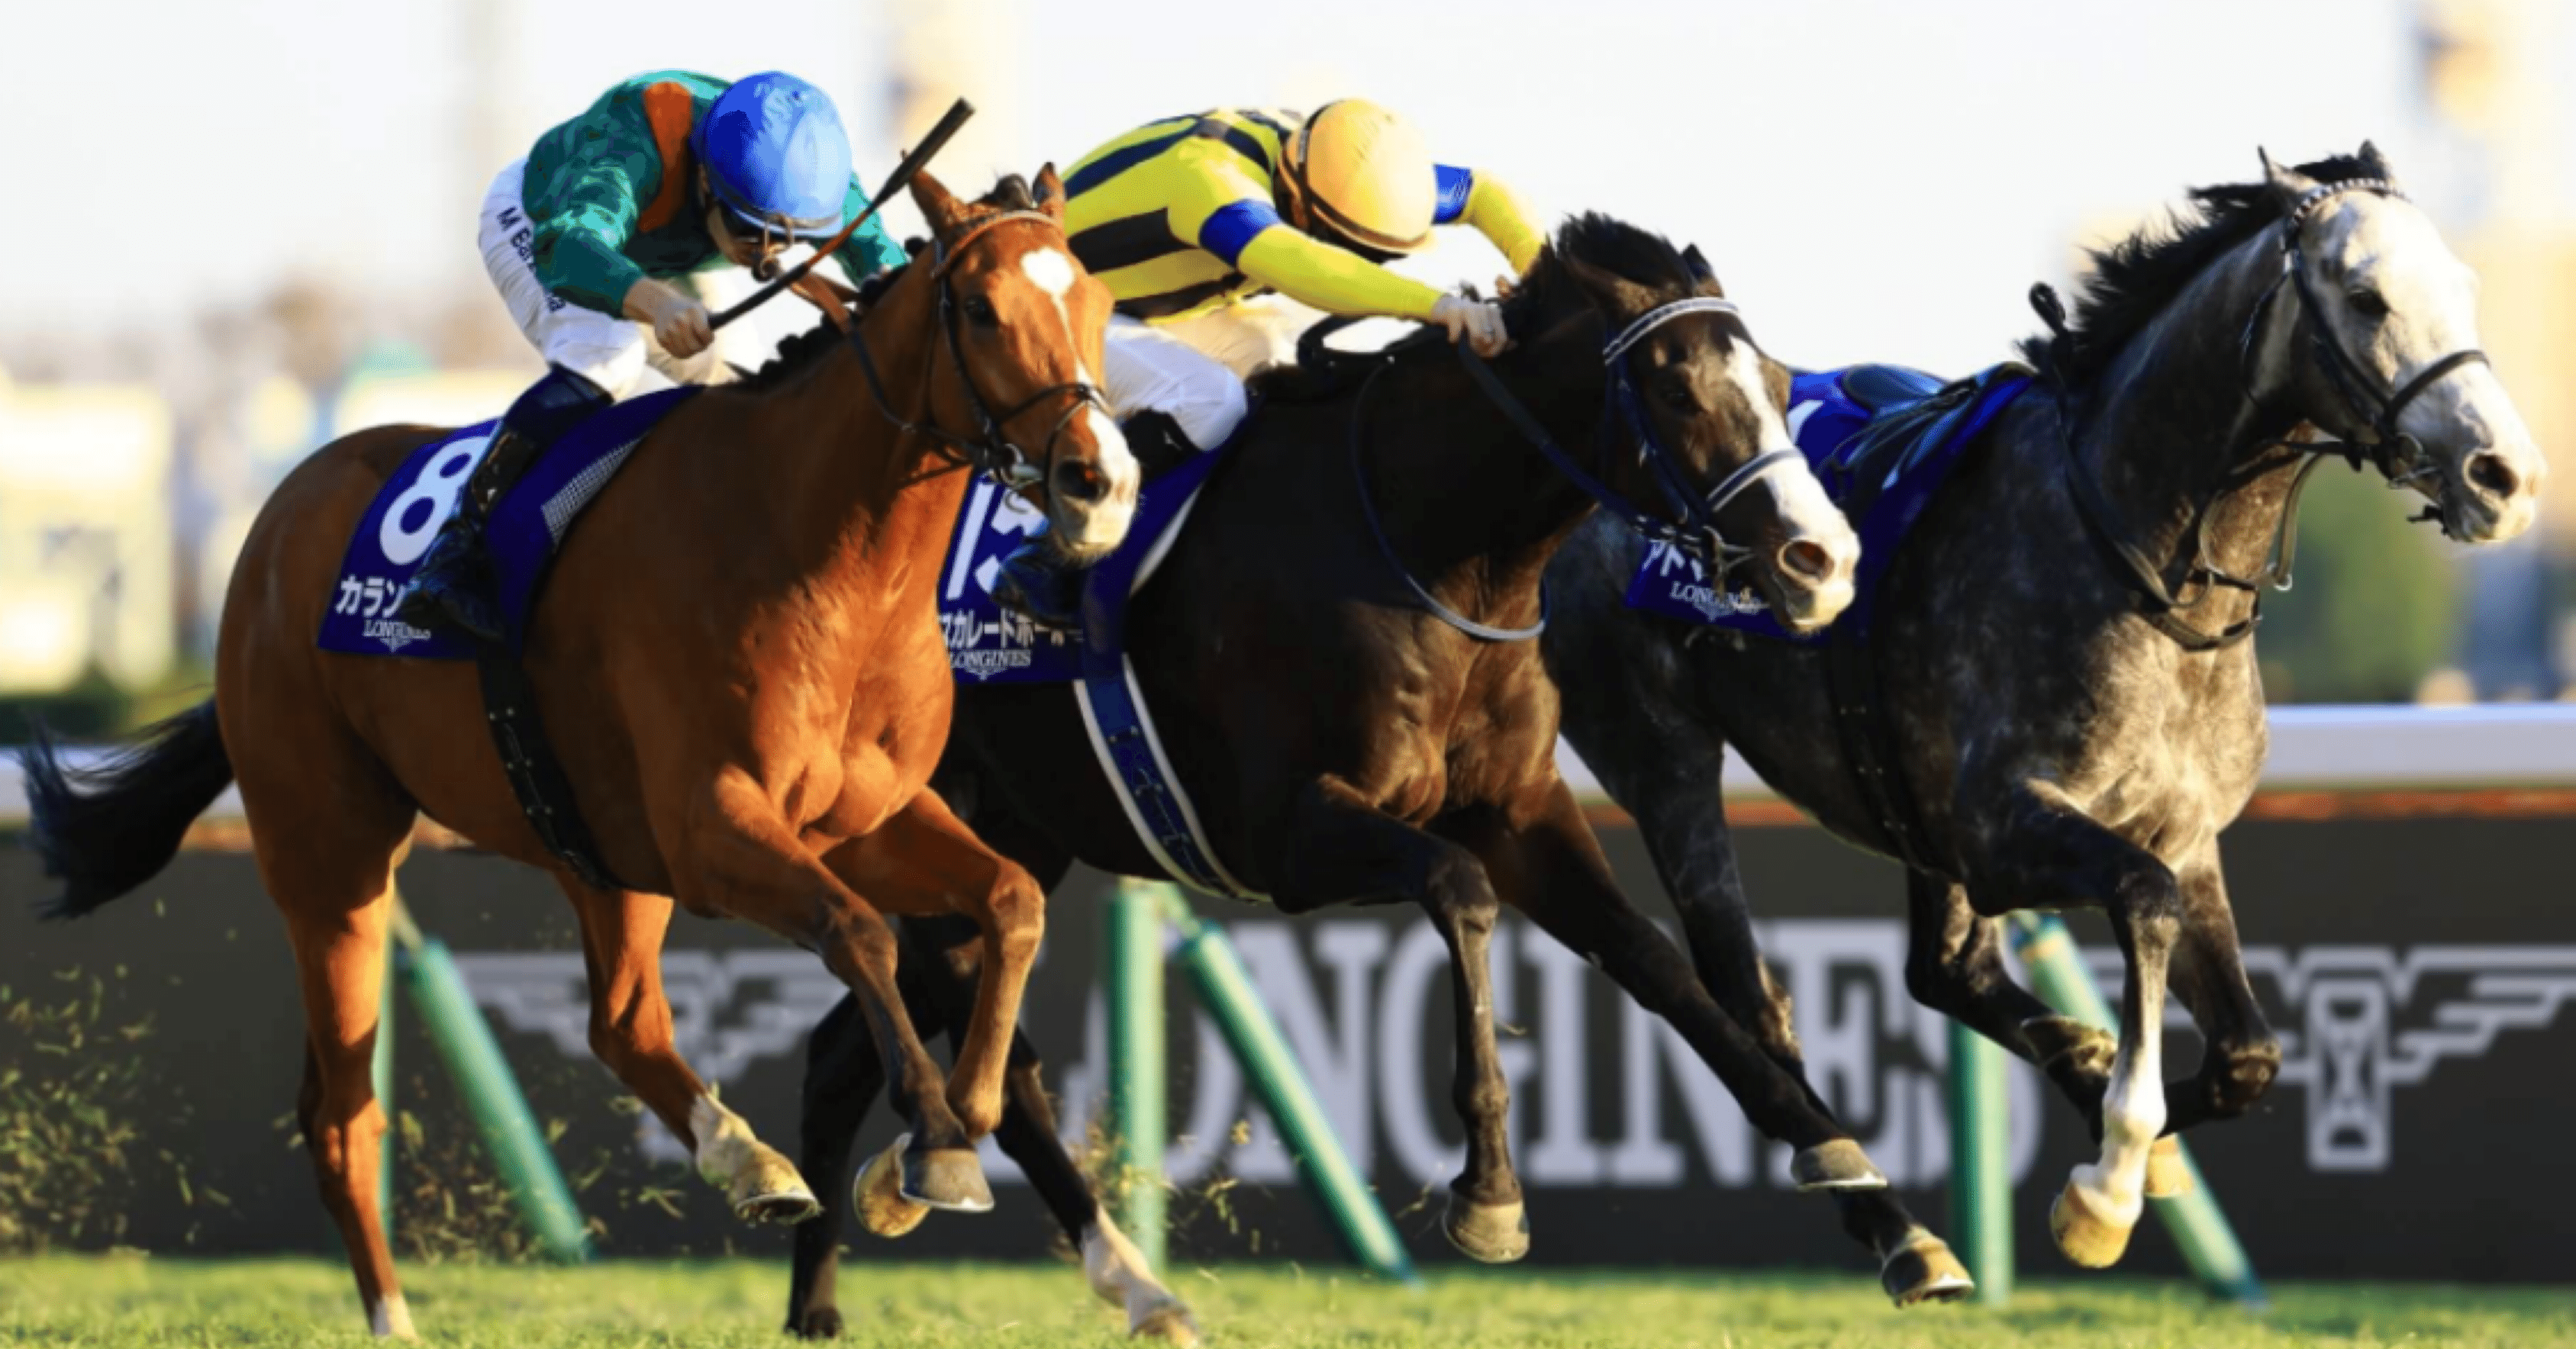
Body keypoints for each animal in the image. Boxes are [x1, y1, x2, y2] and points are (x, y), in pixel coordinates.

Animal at [13, 168, 1140, 1339]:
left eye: (1100, 304)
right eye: (982, 310)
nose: (1098, 481)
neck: (821, 557)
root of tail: (273, 524)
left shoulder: (865, 819)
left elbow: (1011, 903)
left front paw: (936, 1144)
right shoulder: (714, 827)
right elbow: (860, 931)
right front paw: (930, 1136)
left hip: (597, 852)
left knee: (621, 1024)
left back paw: (745, 1160)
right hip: (329, 856)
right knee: (344, 1111)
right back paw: (396, 1315)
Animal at [783, 212, 1999, 1340]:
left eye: (1781, 384)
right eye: (1674, 390)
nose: (1823, 562)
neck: (1433, 550)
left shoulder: (1521, 809)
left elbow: (1660, 966)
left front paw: (1873, 1197)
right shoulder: (1289, 831)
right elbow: (1460, 893)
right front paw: (1491, 1195)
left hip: (1020, 831)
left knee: (852, 1046)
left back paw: (840, 1270)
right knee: (981, 1027)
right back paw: (1096, 1266)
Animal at [1541, 145, 2548, 1276]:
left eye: (2463, 284)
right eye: (2366, 296)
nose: (2503, 476)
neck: (2142, 568)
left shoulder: (2183, 831)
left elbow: (2245, 1052)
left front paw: (2122, 1112)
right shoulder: (2002, 827)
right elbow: (2144, 903)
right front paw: (2107, 1178)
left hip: (1905, 809)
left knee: (1943, 969)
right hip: (1662, 754)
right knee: (1749, 992)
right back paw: (1892, 1221)